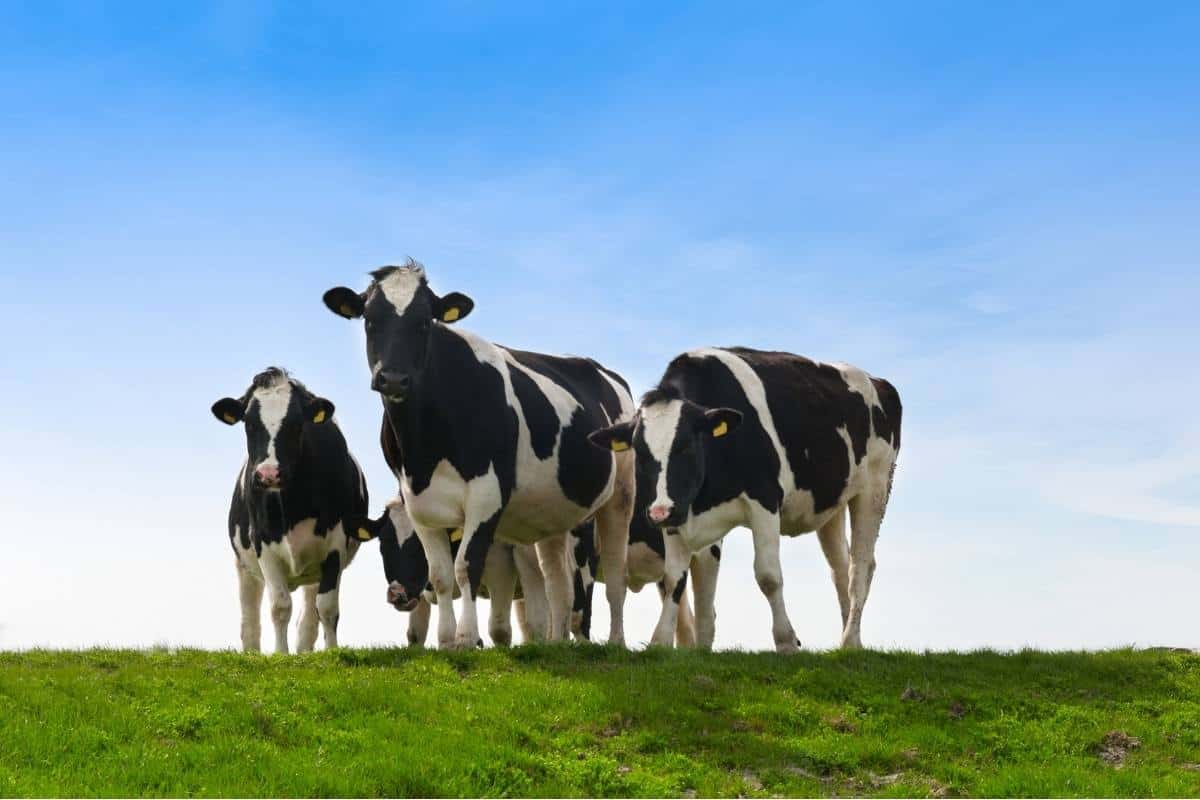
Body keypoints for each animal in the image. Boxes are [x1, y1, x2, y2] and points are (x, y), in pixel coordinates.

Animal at [213, 367, 367, 652]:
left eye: (297, 424)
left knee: (309, 617)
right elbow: (280, 606)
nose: (268, 474)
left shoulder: (335, 545)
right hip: (244, 566)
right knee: (249, 620)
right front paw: (280, 654)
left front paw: (332, 653)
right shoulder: (263, 544)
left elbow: (327, 609)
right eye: (249, 423)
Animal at [319, 262, 638, 652]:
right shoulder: (416, 502)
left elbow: (465, 566)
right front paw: (445, 641)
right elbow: (441, 575)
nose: (393, 378)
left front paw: (466, 638)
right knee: (557, 582)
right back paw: (555, 644)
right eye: (369, 319)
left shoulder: (488, 495)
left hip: (620, 495)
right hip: (553, 511)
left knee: (615, 573)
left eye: (424, 322)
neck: (424, 448)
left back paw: (617, 641)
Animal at [585, 347, 897, 652]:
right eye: (639, 452)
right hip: (831, 505)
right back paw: (850, 644)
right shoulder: (679, 512)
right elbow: (677, 579)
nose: (659, 514)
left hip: (875, 488)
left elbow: (769, 576)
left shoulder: (765, 499)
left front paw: (786, 641)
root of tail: (878, 381)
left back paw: (850, 639)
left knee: (861, 568)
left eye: (686, 446)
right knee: (841, 569)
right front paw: (664, 643)